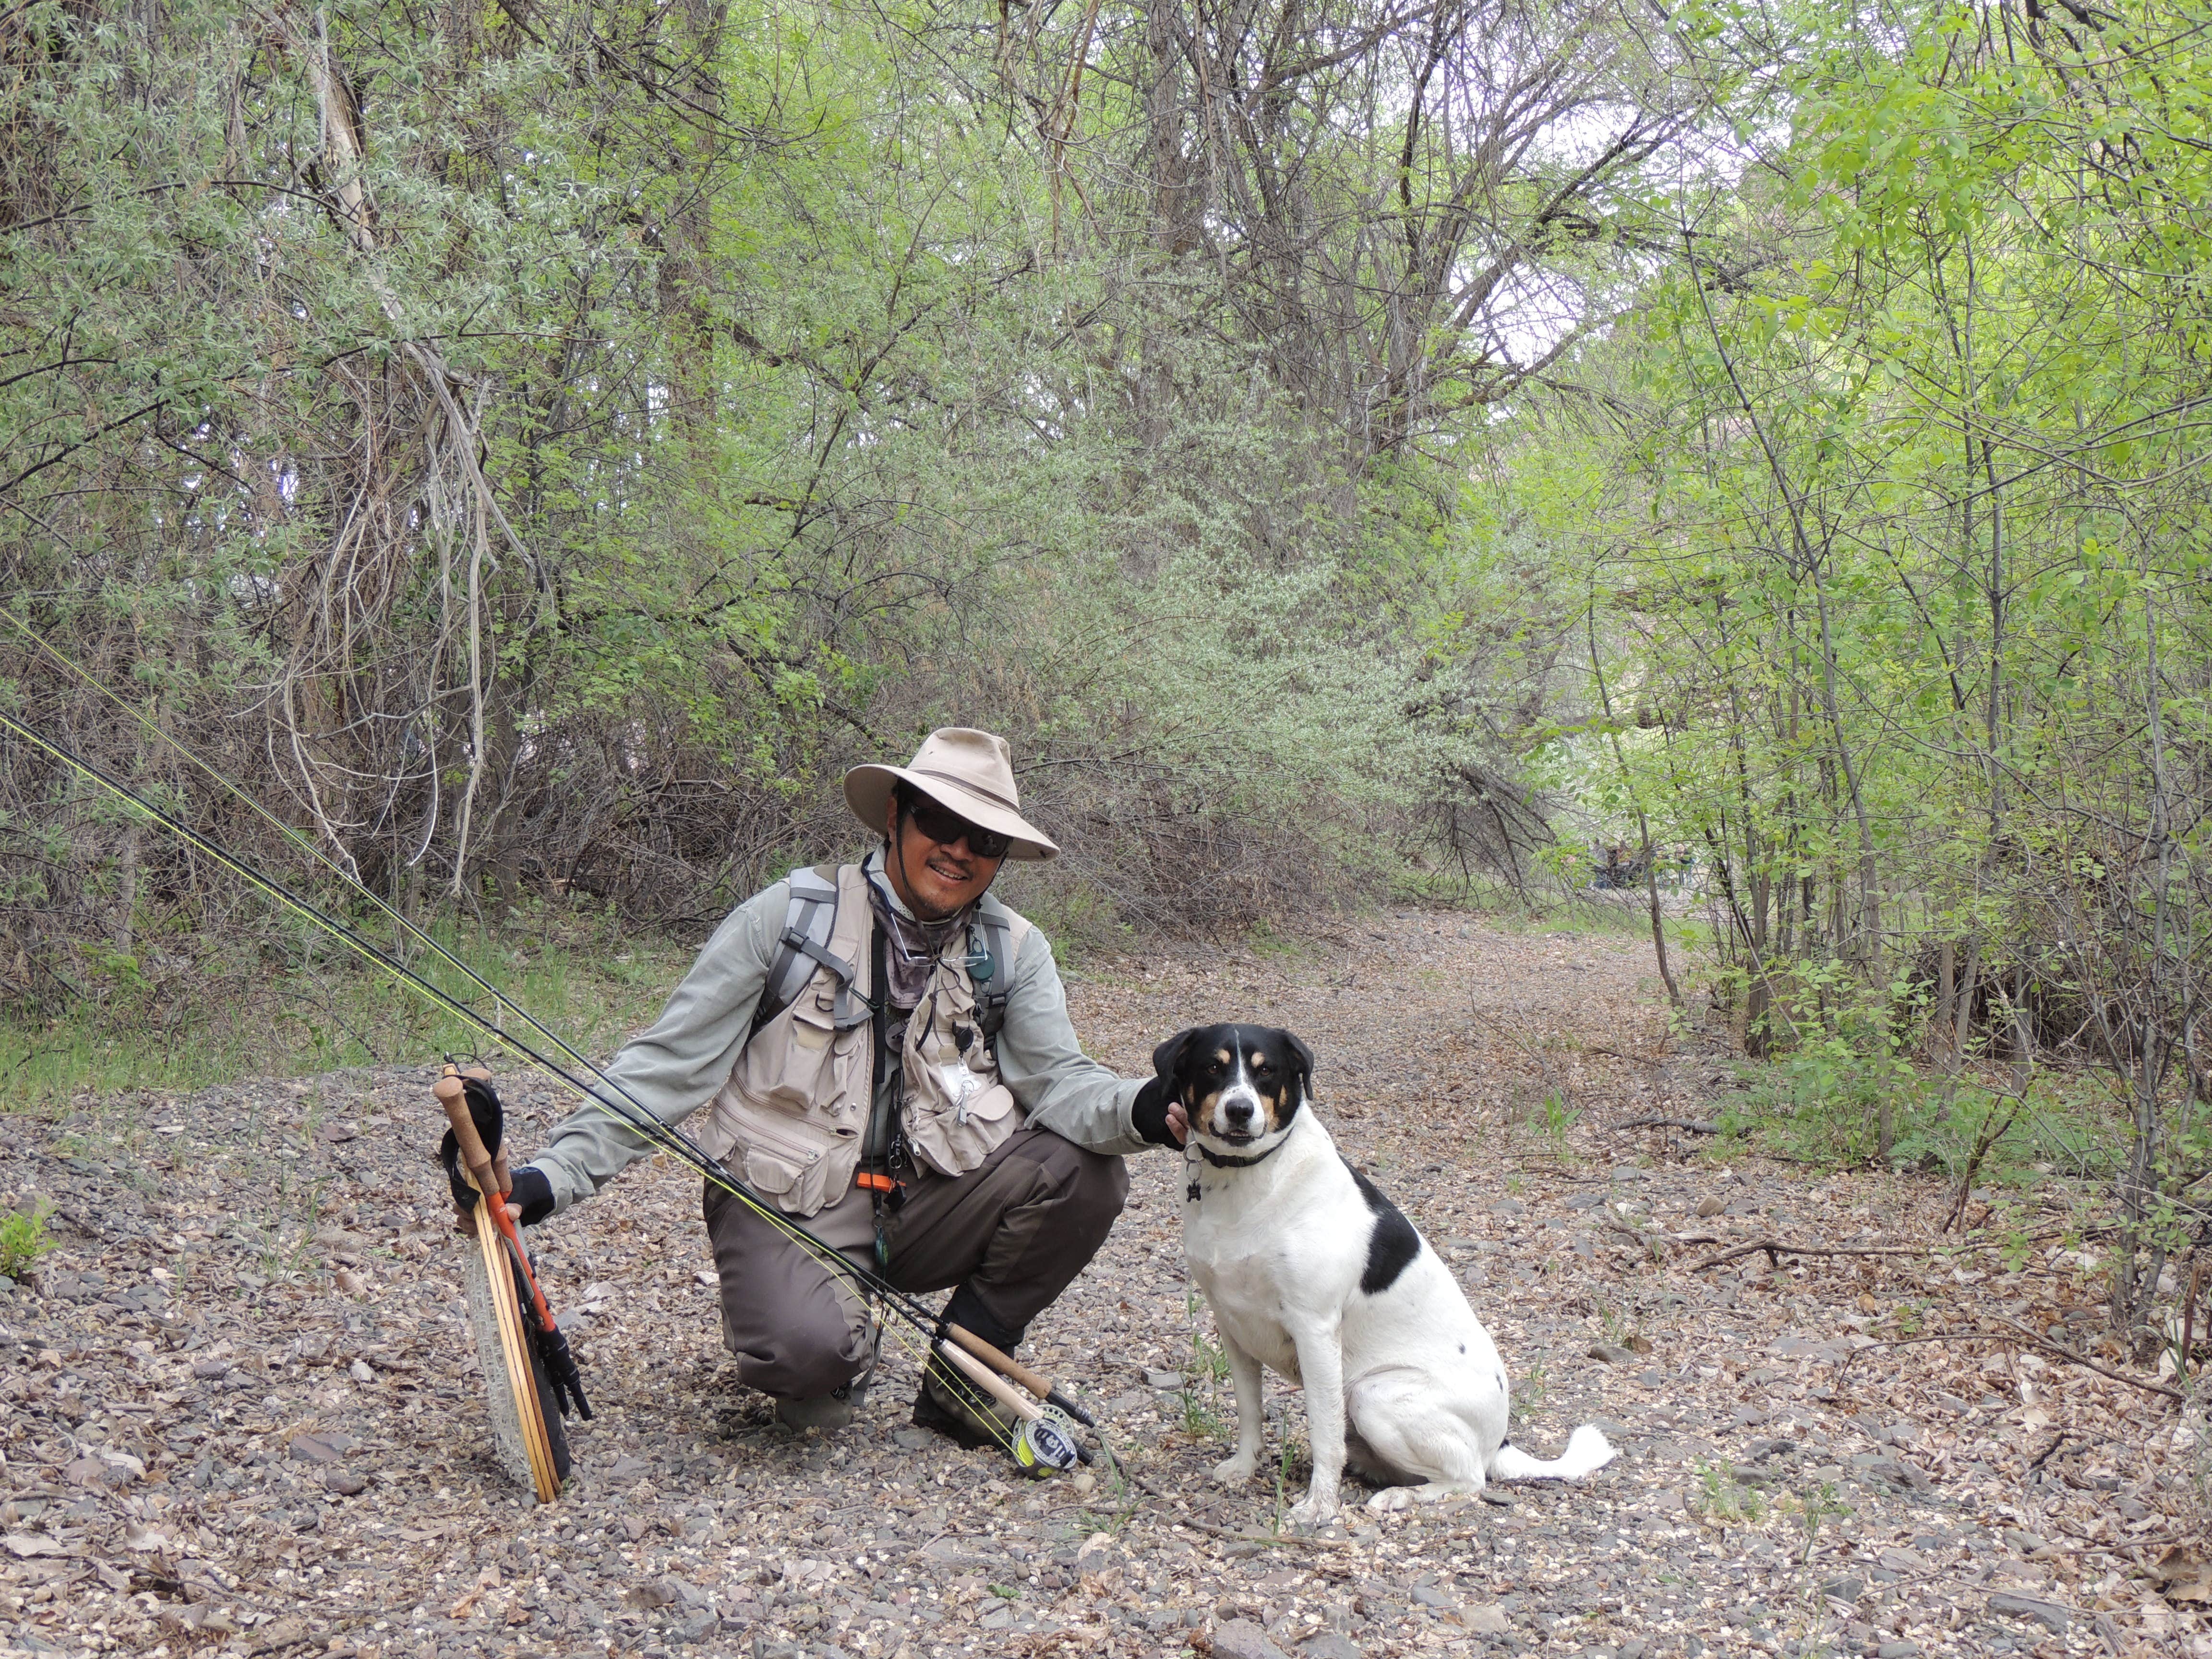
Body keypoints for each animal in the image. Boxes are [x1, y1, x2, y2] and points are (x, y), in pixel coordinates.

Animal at [1168, 1026, 1619, 1530]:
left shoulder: (1315, 1329)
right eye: (1213, 1067)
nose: (1240, 1110)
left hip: (1373, 1394)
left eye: (1267, 1071)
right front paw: (1246, 1467)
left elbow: (1324, 1432)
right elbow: (1250, 1411)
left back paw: (1401, 1497)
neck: (1247, 1181)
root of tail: (1500, 1440)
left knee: (1470, 1480)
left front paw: (1320, 1505)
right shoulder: (1233, 1325)